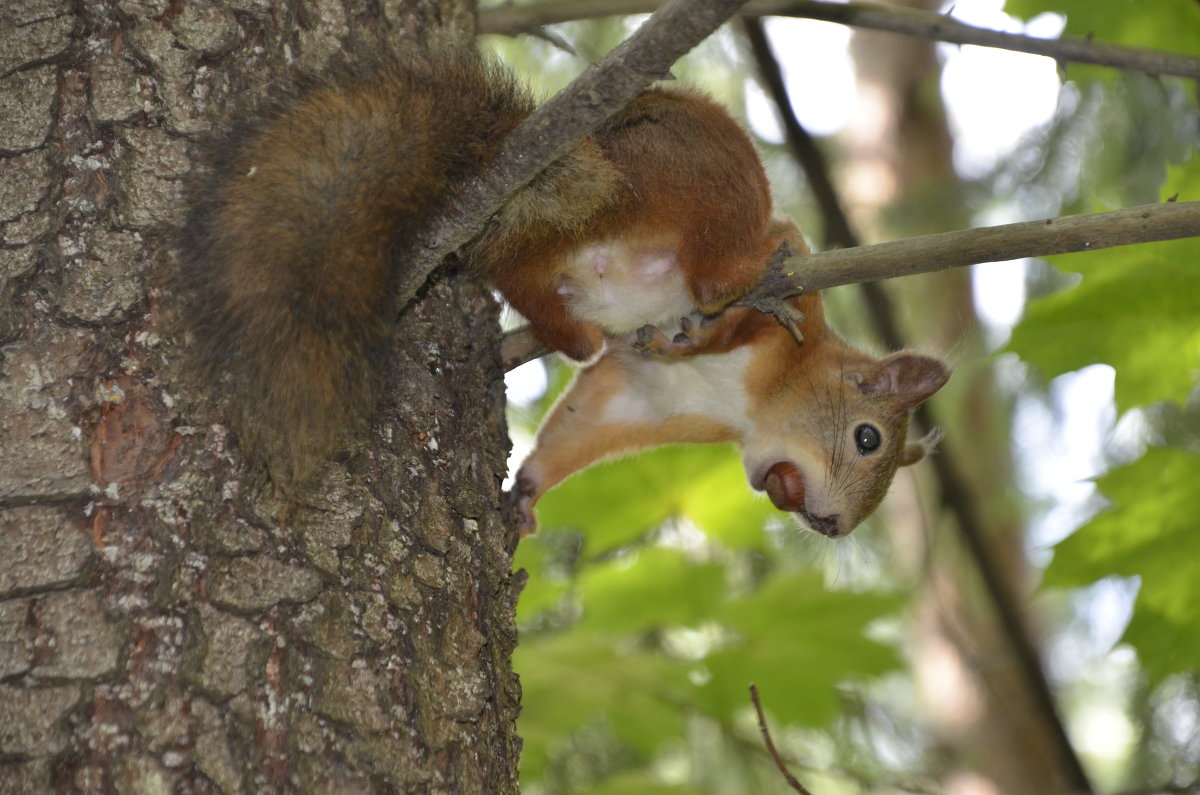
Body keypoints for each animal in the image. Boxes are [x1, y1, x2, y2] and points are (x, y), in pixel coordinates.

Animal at [177, 48, 945, 535]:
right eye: (869, 438)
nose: (829, 524)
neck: (757, 405)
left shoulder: (650, 399)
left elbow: (586, 421)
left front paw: (527, 488)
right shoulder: (800, 291)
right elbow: (768, 294)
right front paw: (715, 328)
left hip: (564, 248)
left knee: (519, 277)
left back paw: (567, 330)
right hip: (699, 180)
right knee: (710, 268)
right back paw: (723, 294)